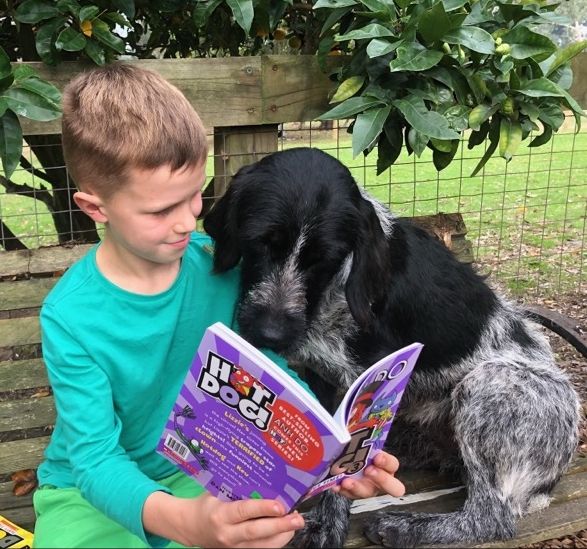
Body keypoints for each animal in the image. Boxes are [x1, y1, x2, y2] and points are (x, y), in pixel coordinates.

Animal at [203, 147, 581, 548]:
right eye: (259, 242)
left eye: (326, 259)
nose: (270, 334)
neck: (332, 294)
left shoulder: (364, 378)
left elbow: (345, 460)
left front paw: (328, 522)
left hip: (491, 385)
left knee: (491, 517)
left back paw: (409, 526)